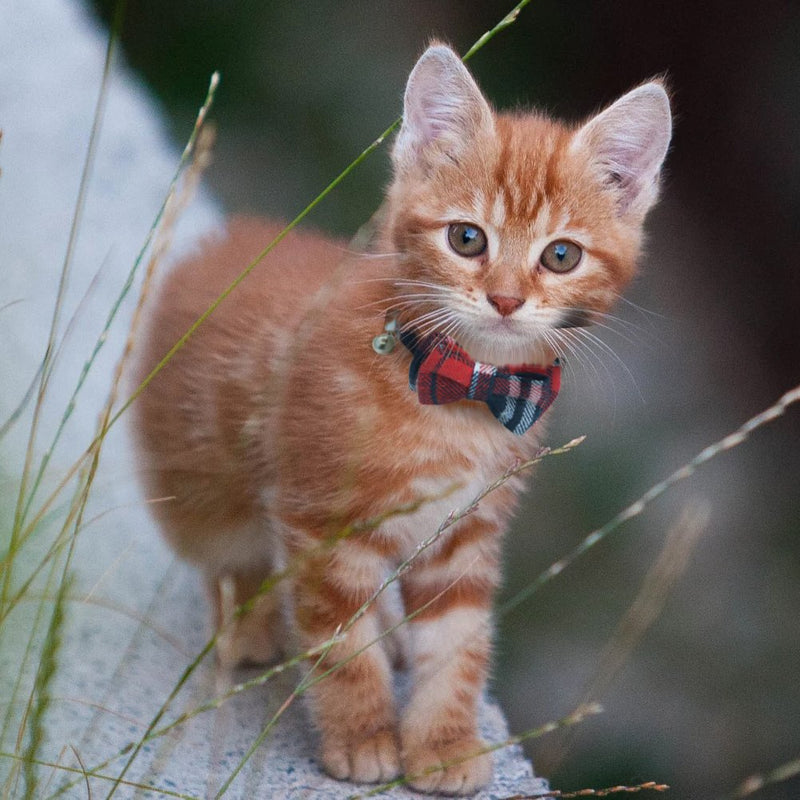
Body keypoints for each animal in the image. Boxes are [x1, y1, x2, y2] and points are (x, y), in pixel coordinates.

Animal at [134, 43, 672, 792]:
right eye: (467, 239)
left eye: (560, 255)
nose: (506, 299)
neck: (463, 389)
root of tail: (224, 243)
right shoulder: (322, 524)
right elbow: (340, 644)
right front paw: (362, 735)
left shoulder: (465, 532)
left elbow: (458, 643)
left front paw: (443, 741)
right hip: (204, 488)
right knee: (230, 555)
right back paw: (250, 621)